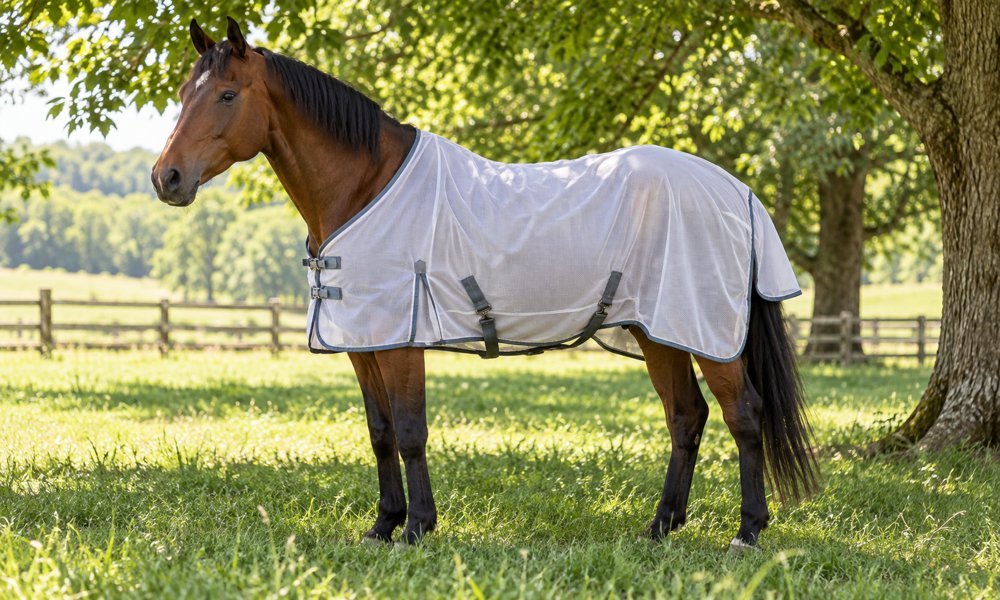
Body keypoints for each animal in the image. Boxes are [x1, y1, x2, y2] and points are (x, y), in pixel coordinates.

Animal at [152, 17, 818, 551]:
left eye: (227, 95)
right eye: (184, 94)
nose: (167, 178)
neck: (365, 185)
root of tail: (736, 190)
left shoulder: (400, 343)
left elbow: (411, 432)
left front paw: (417, 528)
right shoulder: (365, 343)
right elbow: (380, 433)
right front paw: (382, 525)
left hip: (705, 331)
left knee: (744, 416)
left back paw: (747, 532)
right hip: (658, 330)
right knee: (686, 417)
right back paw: (659, 527)